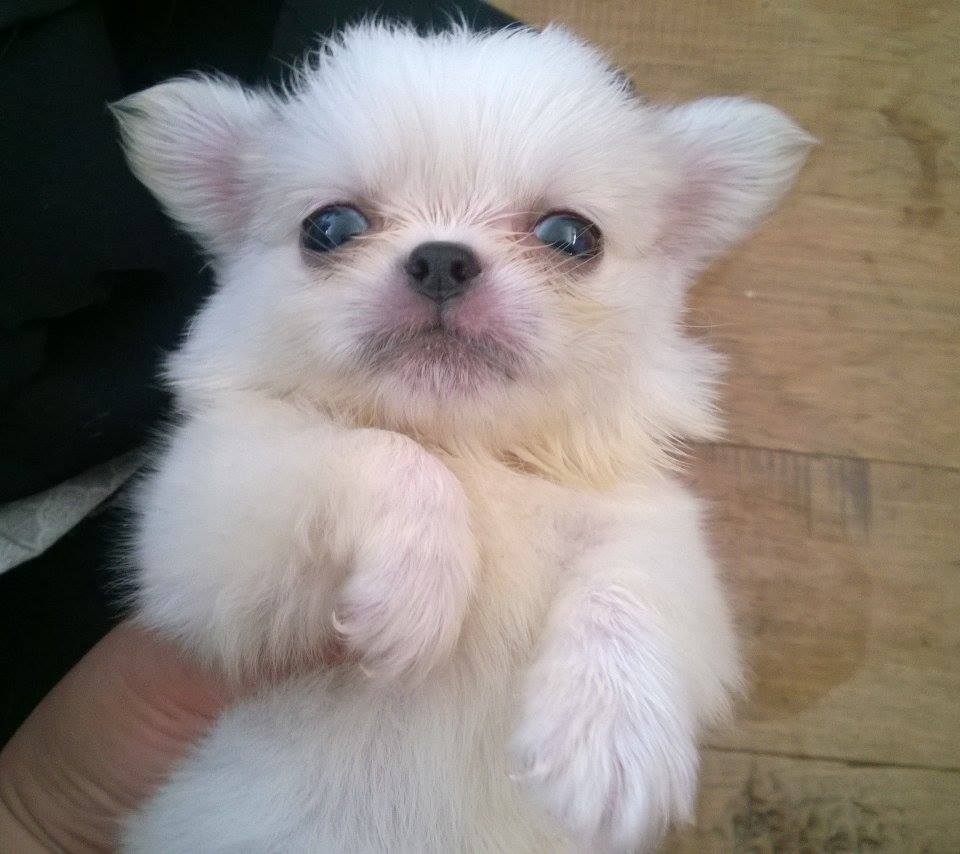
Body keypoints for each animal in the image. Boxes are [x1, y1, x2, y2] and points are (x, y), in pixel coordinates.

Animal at [112, 21, 812, 852]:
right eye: (330, 227)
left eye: (571, 235)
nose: (443, 258)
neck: (468, 449)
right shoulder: (208, 517)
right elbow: (385, 454)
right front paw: (420, 585)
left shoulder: (655, 531)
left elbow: (631, 586)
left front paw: (607, 739)